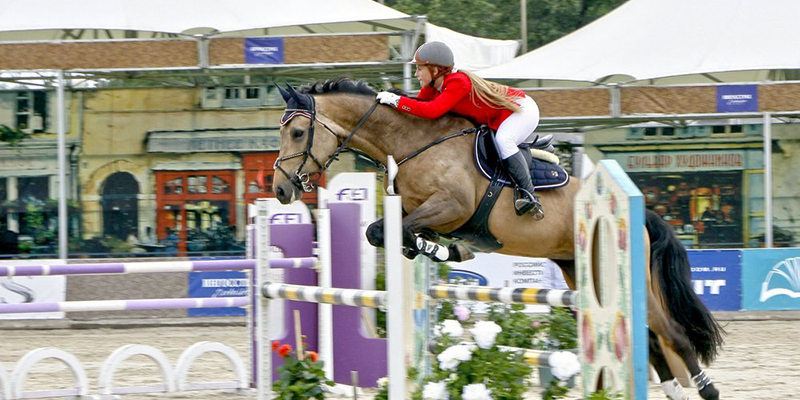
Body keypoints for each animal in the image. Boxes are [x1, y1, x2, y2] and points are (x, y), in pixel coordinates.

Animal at [271, 78, 724, 400]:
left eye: (298, 132)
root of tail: (641, 211)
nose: (280, 190)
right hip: (581, 272)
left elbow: (397, 229)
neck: (412, 142)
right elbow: (378, 231)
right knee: (650, 338)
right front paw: (435, 248)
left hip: (623, 277)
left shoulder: (450, 206)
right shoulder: (413, 210)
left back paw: (707, 388)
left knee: (670, 334)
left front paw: (439, 248)